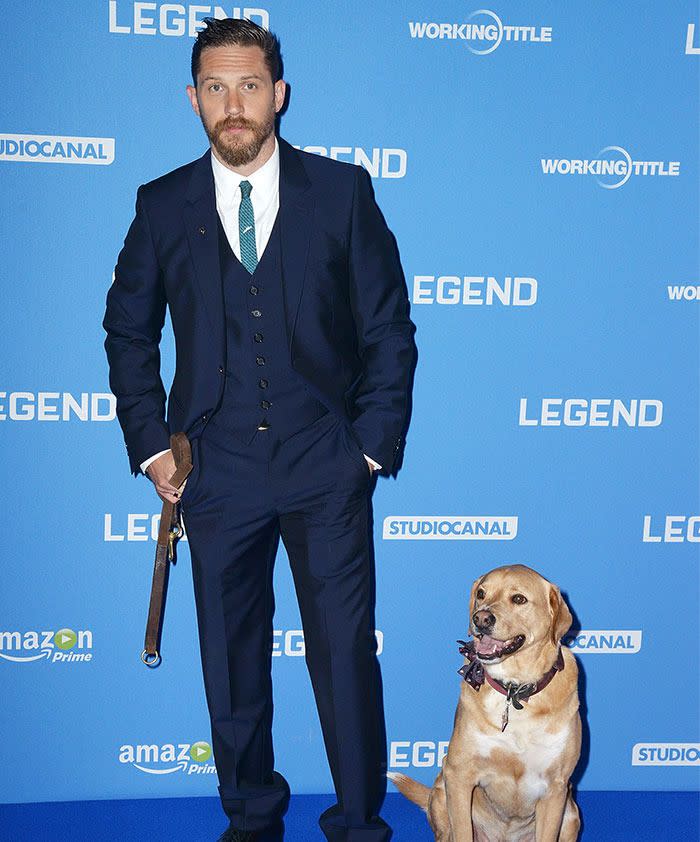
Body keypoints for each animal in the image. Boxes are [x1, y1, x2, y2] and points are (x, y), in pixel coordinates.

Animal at [392, 564, 584, 840]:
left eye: (519, 599)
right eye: (481, 593)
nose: (481, 619)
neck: (514, 690)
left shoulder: (555, 787)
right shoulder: (458, 775)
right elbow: (462, 832)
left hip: (570, 814)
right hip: (441, 792)